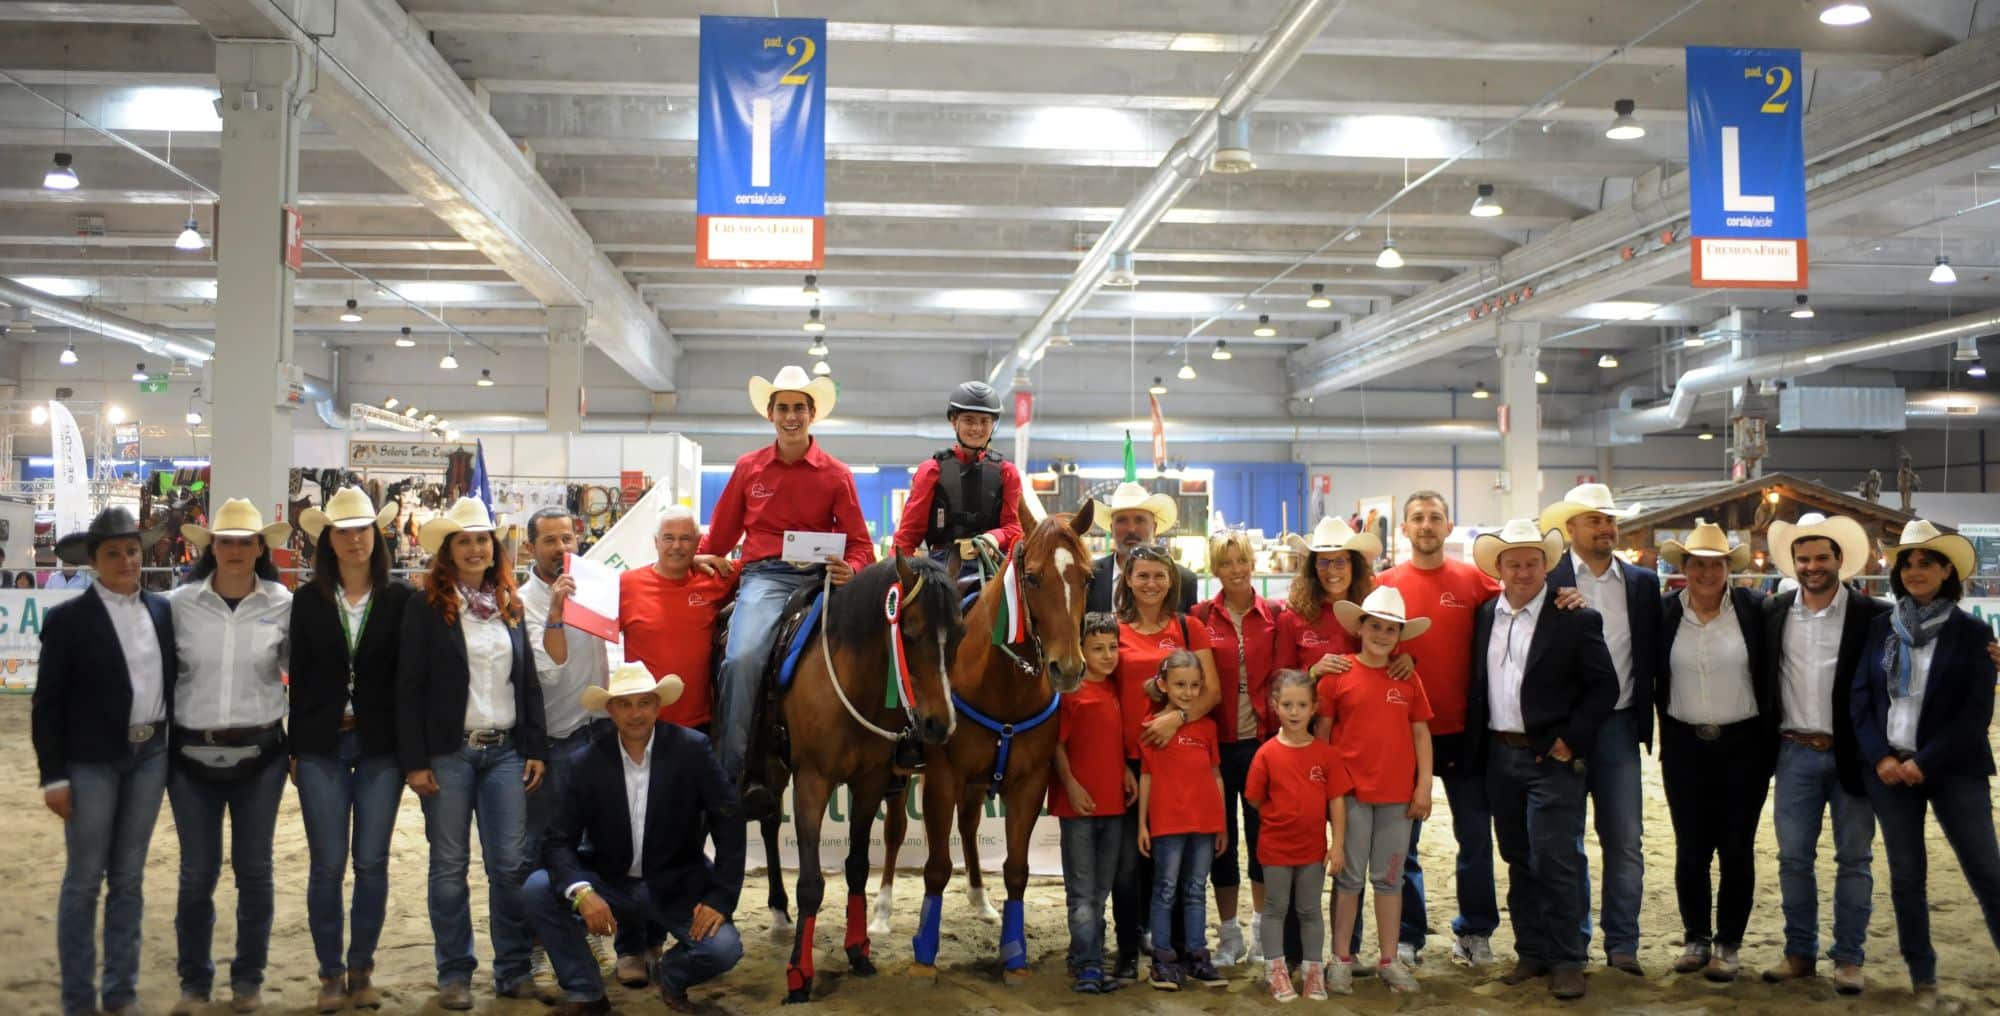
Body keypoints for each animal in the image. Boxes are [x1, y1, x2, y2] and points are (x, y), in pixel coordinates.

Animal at [776, 552, 964, 1004]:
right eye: (910, 632)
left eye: (961, 633)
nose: (940, 725)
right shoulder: (811, 783)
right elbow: (811, 883)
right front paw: (799, 974)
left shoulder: (870, 783)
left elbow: (858, 866)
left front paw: (858, 951)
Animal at [900, 504, 1096, 980]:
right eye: (1034, 578)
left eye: (1086, 578)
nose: (1067, 668)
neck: (1002, 685)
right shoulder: (941, 779)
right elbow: (936, 867)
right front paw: (923, 954)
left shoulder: (1029, 784)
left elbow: (1017, 870)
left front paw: (1015, 955)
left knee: (970, 825)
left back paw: (980, 899)